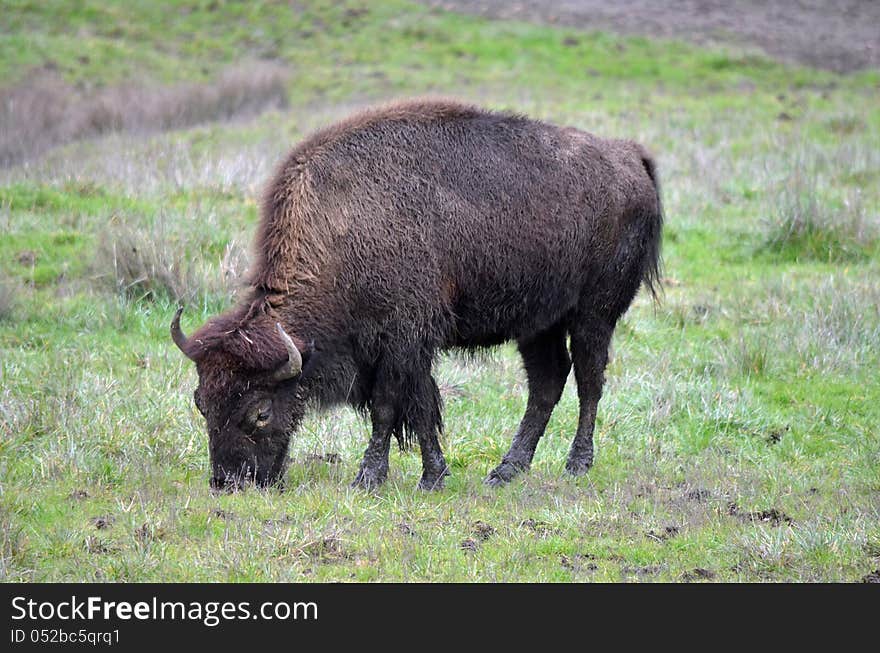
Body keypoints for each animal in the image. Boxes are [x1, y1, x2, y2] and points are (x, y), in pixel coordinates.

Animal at [172, 98, 660, 488]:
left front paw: (377, 479)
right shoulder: (400, 348)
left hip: (594, 315)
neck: (342, 227)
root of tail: (630, 156)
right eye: (202, 404)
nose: (229, 482)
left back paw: (576, 465)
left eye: (260, 412)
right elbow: (416, 406)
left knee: (589, 381)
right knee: (547, 383)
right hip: (539, 324)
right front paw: (429, 475)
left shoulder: (404, 338)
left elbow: (393, 405)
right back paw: (505, 470)